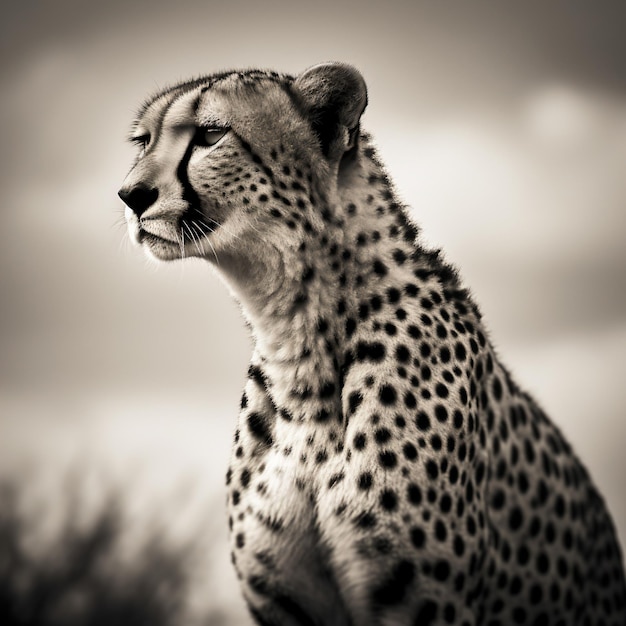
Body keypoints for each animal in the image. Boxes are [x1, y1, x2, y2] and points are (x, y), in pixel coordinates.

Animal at [118, 62, 624, 620]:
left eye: (211, 135)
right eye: (142, 142)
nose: (129, 195)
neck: (297, 348)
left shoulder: (425, 604)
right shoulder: (285, 603)